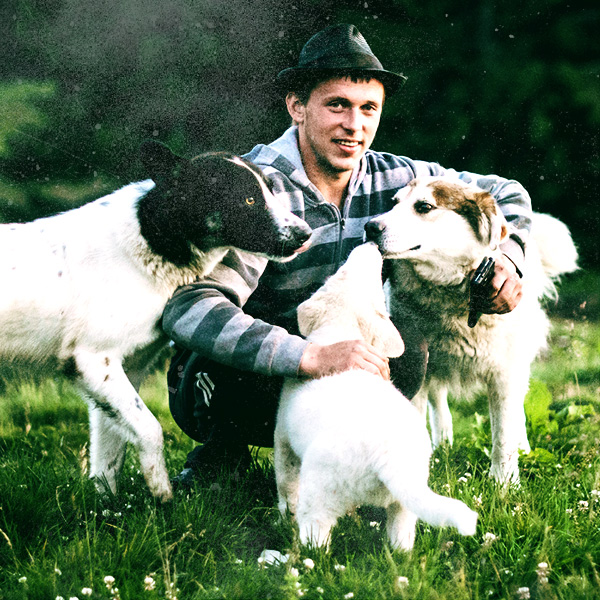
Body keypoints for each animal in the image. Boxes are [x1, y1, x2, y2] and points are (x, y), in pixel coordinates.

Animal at [0, 142, 312, 502]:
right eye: (247, 199)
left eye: (272, 190)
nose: (306, 234)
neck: (152, 238)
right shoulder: (94, 361)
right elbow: (150, 429)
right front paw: (161, 494)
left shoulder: (122, 373)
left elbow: (110, 455)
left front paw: (109, 509)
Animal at [276, 243, 478, 548]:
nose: (372, 244)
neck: (340, 332)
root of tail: (390, 458)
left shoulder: (283, 439)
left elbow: (285, 484)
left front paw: (281, 516)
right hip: (404, 504)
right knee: (402, 537)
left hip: (320, 493)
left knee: (316, 533)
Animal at [364, 176, 580, 486]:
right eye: (394, 203)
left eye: (424, 207)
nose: (370, 226)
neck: (451, 294)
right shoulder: (417, 369)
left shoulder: (505, 375)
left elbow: (503, 435)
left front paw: (504, 484)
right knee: (439, 404)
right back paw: (442, 446)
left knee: (517, 415)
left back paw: (523, 449)